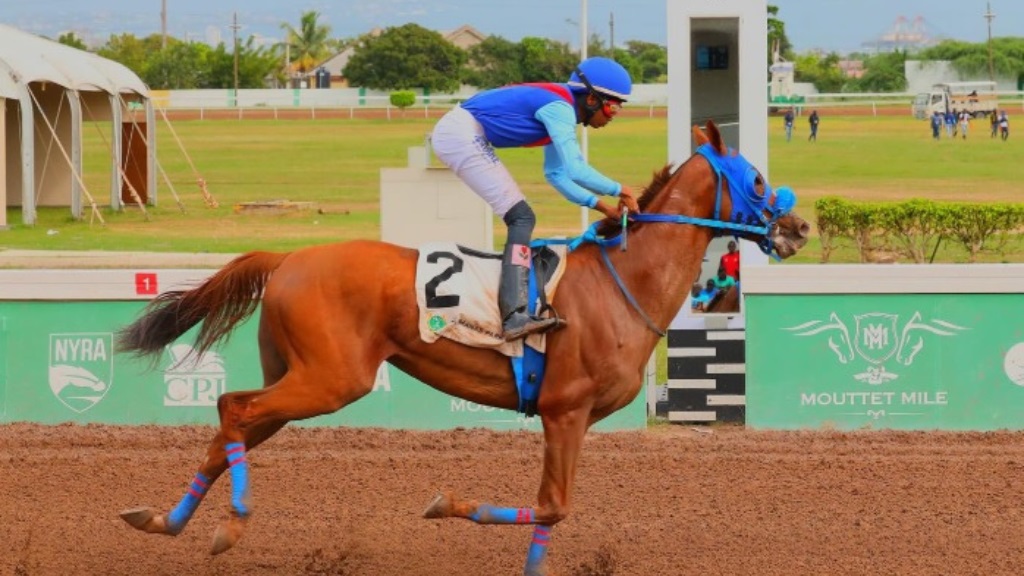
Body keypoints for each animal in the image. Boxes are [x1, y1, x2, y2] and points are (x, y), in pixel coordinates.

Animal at [116, 121, 811, 573]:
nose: (799, 225)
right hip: (332, 380)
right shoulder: (564, 411)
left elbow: (550, 511)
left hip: (298, 376)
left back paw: (163, 521)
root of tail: (287, 258)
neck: (623, 282)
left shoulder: (571, 417)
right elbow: (552, 508)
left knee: (231, 422)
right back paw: (230, 524)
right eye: (755, 178)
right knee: (233, 407)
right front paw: (444, 502)